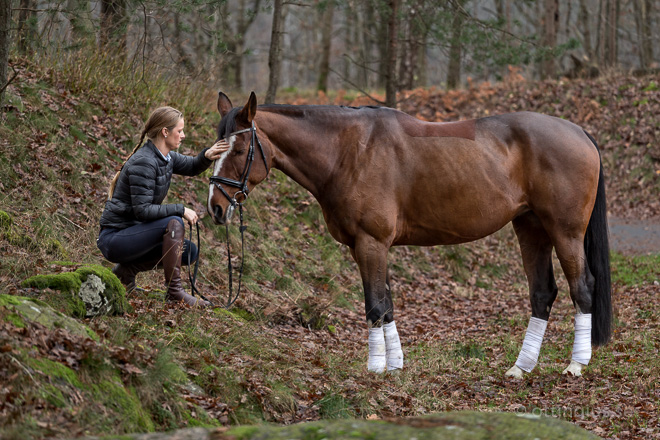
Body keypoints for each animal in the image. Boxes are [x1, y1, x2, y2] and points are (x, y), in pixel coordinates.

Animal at [209, 91, 612, 376]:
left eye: (240, 149)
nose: (214, 206)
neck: (348, 151)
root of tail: (579, 131)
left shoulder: (371, 242)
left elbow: (374, 304)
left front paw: (375, 369)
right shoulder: (367, 246)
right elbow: (386, 303)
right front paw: (395, 365)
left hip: (564, 232)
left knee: (582, 287)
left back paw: (576, 364)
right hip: (531, 228)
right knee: (543, 293)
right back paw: (521, 368)